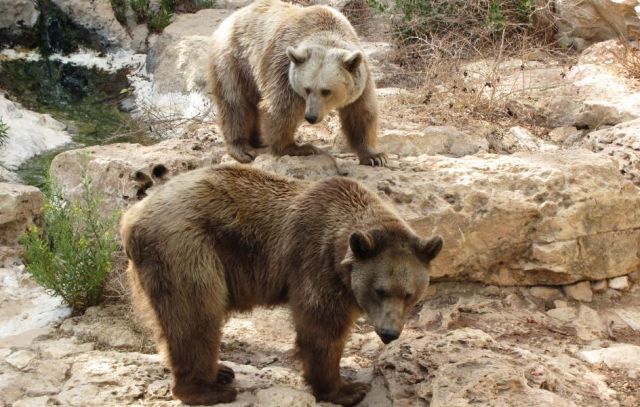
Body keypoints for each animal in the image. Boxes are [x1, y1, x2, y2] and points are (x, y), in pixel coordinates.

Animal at [120, 165, 443, 406]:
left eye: (409, 294)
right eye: (380, 290)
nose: (389, 333)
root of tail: (130, 218)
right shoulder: (315, 262)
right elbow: (321, 327)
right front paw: (347, 389)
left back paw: (218, 372)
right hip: (186, 248)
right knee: (196, 316)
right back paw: (208, 389)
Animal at [209, 0, 387, 167]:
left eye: (326, 91)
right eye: (307, 89)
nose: (311, 116)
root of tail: (232, 17)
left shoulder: (361, 77)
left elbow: (361, 113)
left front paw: (374, 157)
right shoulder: (283, 69)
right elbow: (282, 109)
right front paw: (297, 148)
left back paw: (257, 139)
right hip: (235, 60)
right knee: (235, 103)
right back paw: (242, 149)